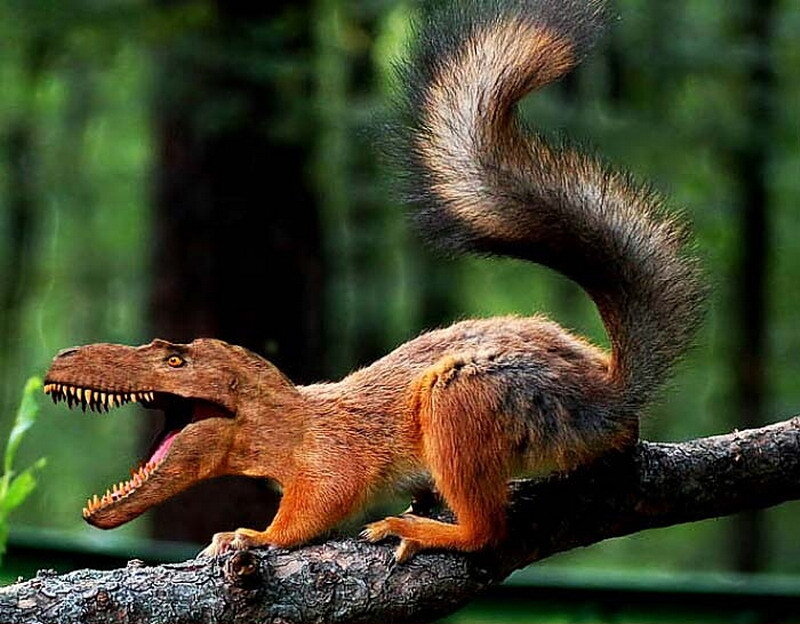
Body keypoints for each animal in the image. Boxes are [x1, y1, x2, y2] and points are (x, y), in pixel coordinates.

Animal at [43, 0, 704, 562]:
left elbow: (314, 511)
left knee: (487, 531)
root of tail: (606, 398)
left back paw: (426, 529)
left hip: (464, 401)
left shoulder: (332, 462)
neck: (292, 420)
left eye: (175, 358)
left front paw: (251, 535)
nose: (61, 359)